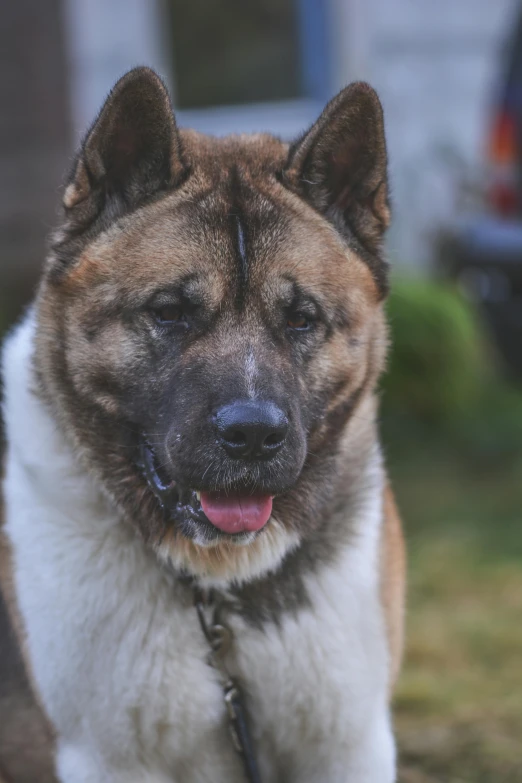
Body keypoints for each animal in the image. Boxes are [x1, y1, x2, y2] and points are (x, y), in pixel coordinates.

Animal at [0, 67, 404, 783]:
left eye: (301, 318)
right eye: (170, 312)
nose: (253, 436)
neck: (218, 591)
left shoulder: (347, 744)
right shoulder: (108, 758)